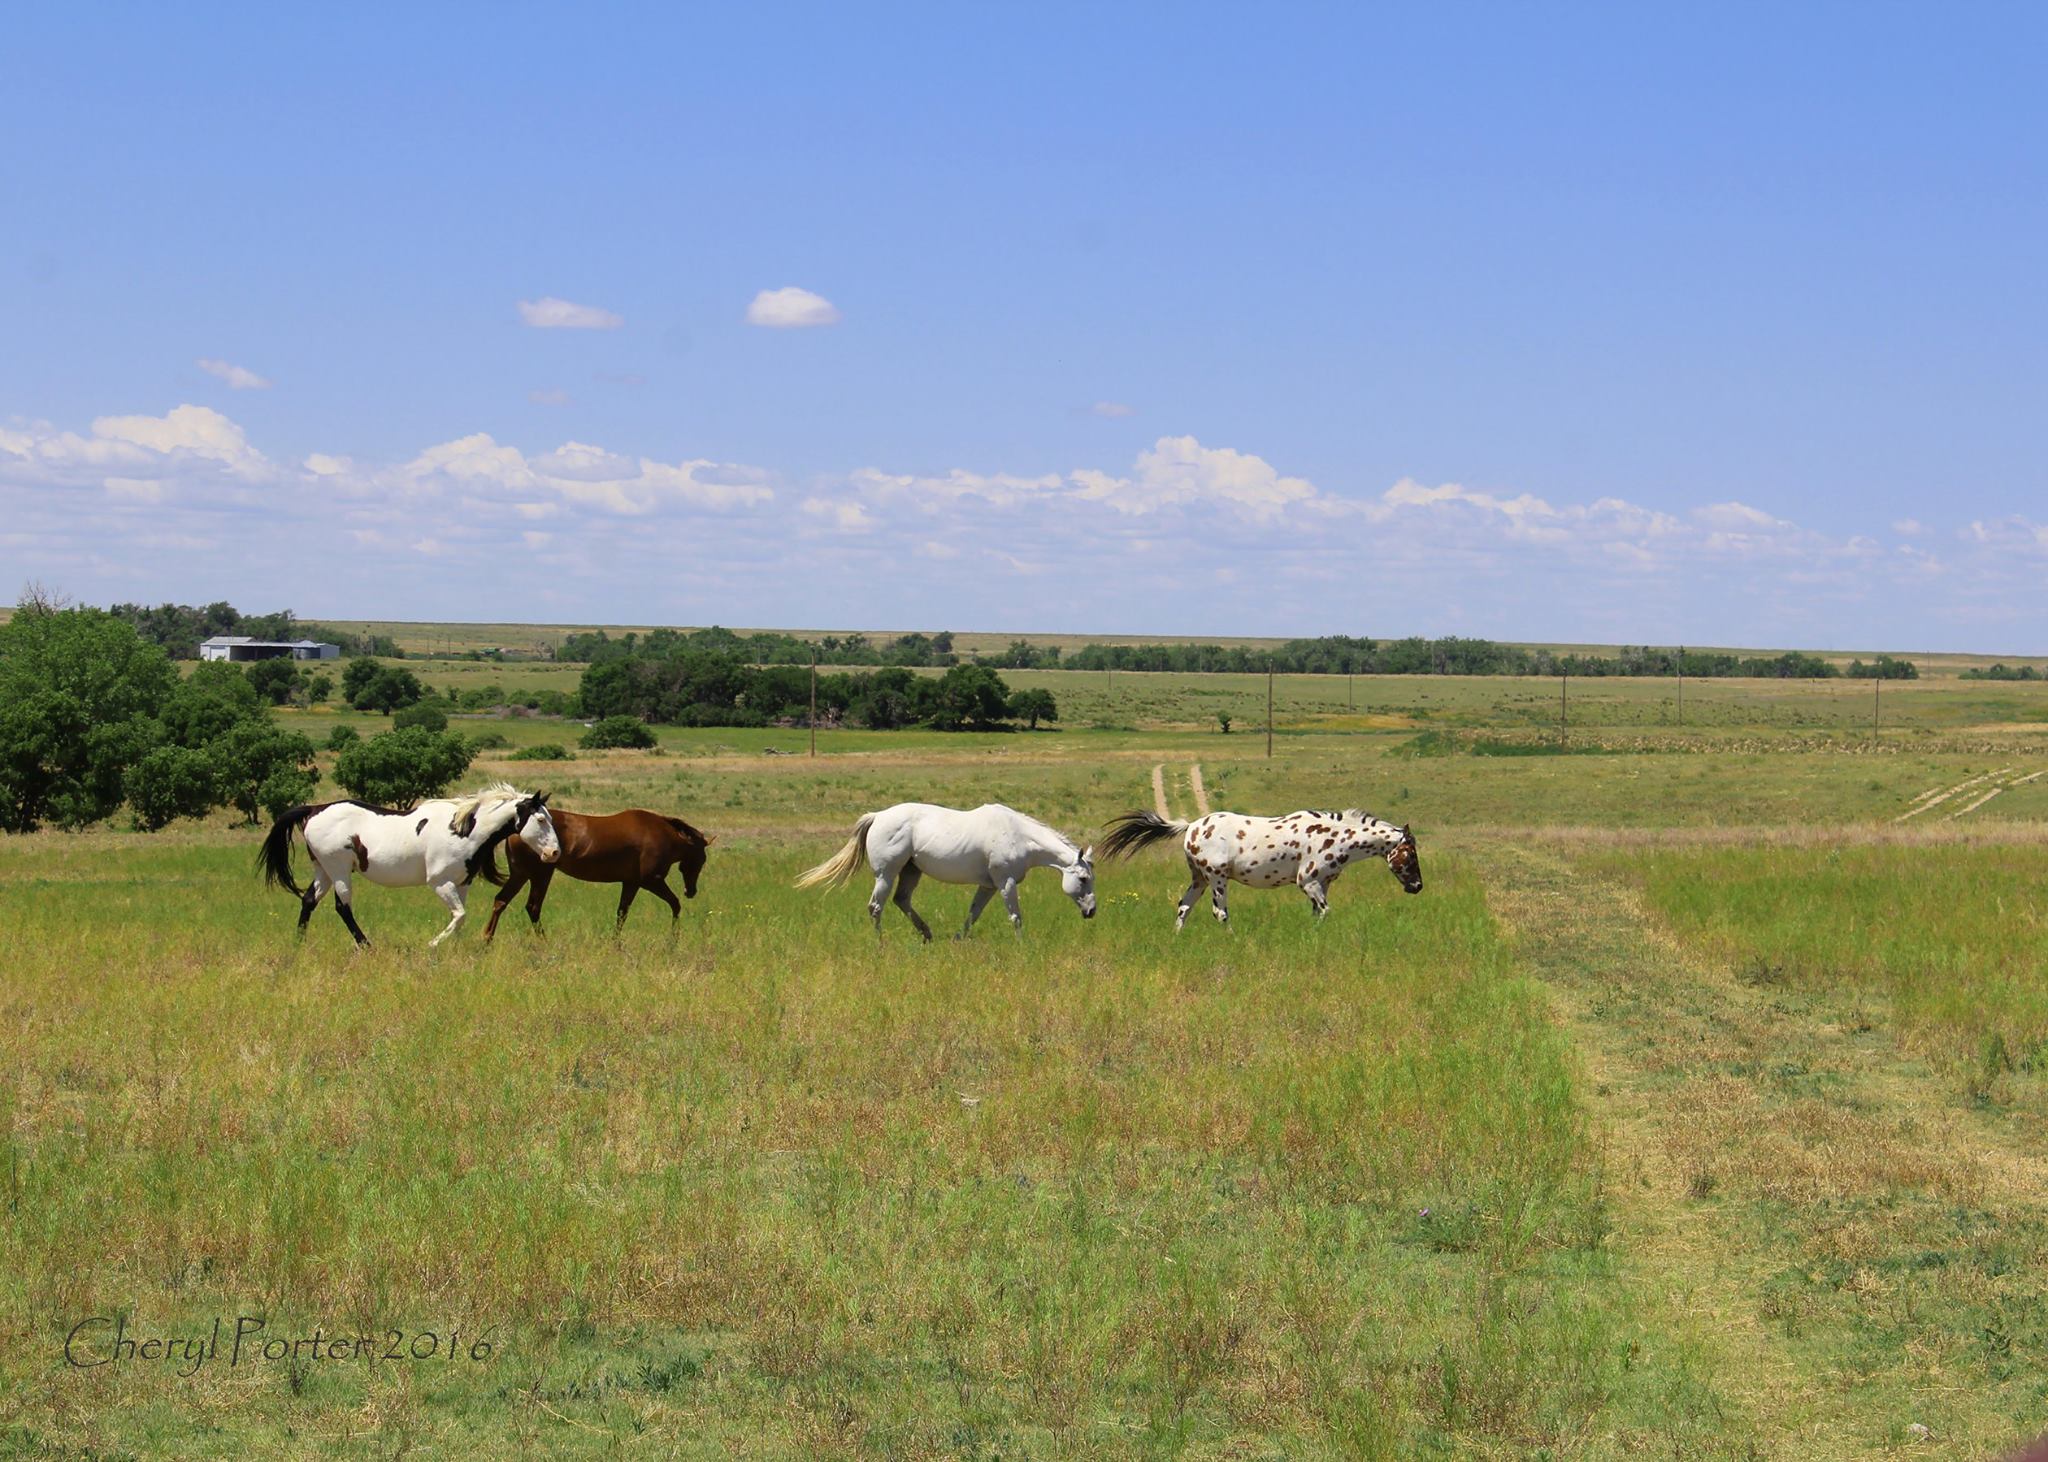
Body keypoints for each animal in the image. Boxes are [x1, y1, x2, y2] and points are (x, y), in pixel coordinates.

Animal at [256, 774, 561, 946]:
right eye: (541, 819)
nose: (554, 853)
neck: (464, 830)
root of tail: (314, 809)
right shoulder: (439, 882)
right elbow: (460, 915)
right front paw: (433, 945)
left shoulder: (462, 883)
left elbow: (460, 918)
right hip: (339, 869)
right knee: (342, 907)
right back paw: (366, 945)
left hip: (323, 870)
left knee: (309, 900)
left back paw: (299, 943)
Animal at [479, 806, 712, 933]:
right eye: (701, 859)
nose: (691, 891)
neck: (661, 835)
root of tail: (515, 829)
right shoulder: (651, 881)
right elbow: (675, 904)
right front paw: (674, 938)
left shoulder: (631, 883)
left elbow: (621, 914)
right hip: (540, 874)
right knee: (532, 907)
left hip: (521, 874)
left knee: (501, 901)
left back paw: (487, 940)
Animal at [790, 798, 1097, 933]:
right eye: (1083, 879)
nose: (1092, 912)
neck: (1017, 835)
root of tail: (877, 816)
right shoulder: (1005, 883)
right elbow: (1015, 917)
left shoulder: (988, 886)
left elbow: (973, 915)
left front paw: (959, 940)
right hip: (886, 874)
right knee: (876, 907)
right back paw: (881, 945)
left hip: (911, 872)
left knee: (902, 900)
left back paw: (927, 934)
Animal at [1097, 802, 1417, 929]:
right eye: (1410, 854)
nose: (1417, 886)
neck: (1333, 836)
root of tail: (1191, 827)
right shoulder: (1309, 882)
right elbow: (1326, 912)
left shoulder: (1321, 884)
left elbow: (1318, 913)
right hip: (1217, 879)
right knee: (1220, 913)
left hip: (1199, 879)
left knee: (1183, 908)